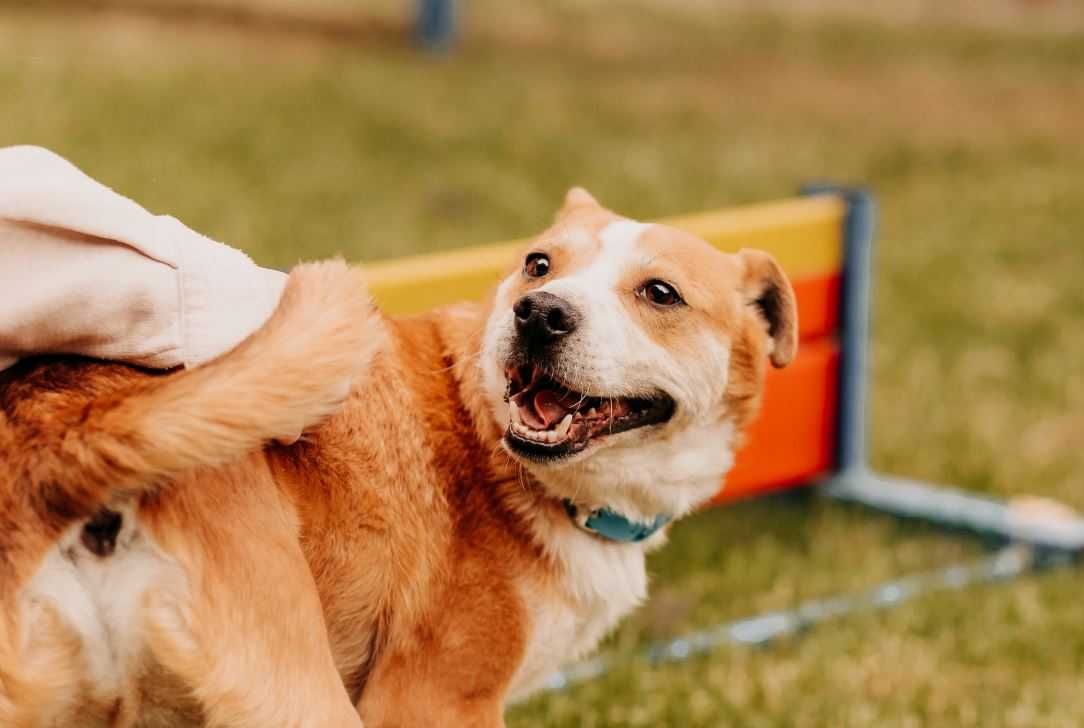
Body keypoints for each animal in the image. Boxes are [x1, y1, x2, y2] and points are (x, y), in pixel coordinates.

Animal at [0, 189, 797, 728]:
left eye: (660, 293)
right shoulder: (433, 702)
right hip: (298, 694)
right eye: (539, 265)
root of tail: (66, 432)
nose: (539, 313)